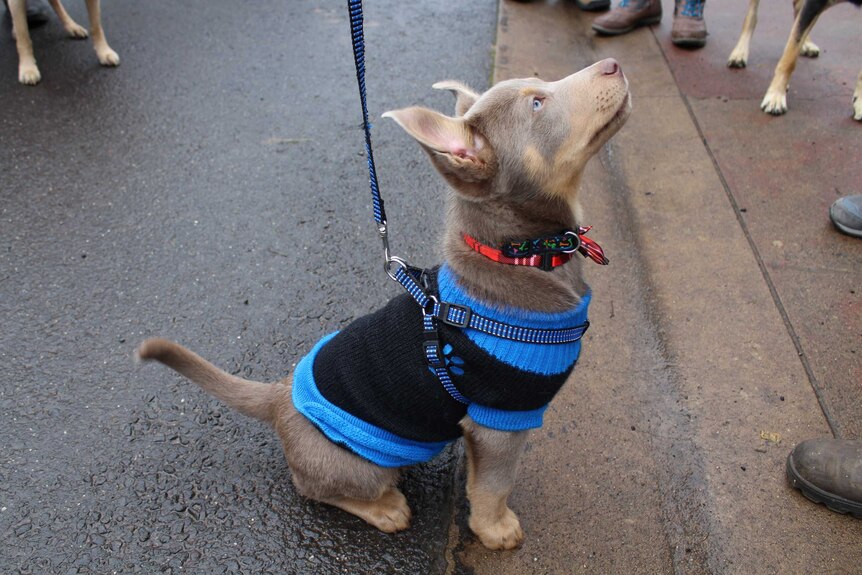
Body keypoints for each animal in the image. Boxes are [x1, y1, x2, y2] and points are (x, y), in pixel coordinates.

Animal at [137, 60, 636, 552]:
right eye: (537, 103)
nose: (613, 64)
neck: (521, 253)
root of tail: (279, 397)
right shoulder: (499, 420)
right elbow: (494, 485)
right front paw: (497, 530)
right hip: (359, 464)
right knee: (316, 487)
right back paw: (386, 508)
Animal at [728, 0, 862, 118]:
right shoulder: (815, 3)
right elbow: (790, 55)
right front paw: (776, 97)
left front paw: (860, 103)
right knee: (752, 14)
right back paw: (739, 53)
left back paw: (807, 43)